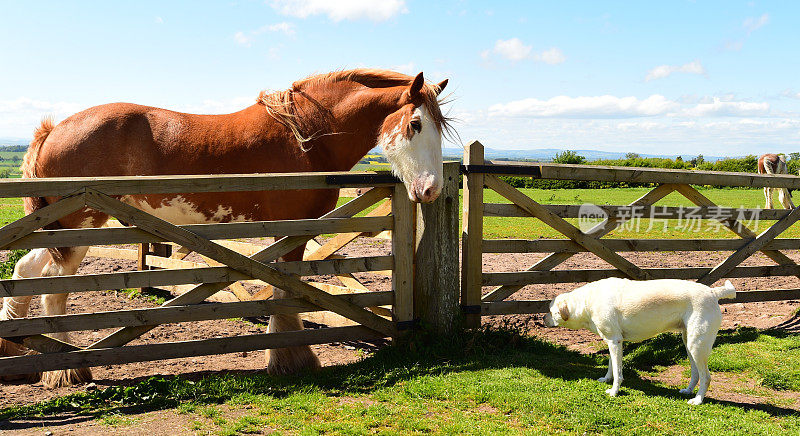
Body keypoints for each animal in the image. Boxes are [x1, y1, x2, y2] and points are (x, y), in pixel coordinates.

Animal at [1, 68, 450, 388]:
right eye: (415, 124)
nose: (431, 190)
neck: (306, 137)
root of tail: (53, 130)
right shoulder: (292, 229)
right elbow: (287, 293)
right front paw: (291, 358)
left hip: (57, 227)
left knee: (27, 271)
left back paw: (19, 351)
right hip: (78, 225)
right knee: (55, 286)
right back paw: (67, 369)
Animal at [540, 278, 736, 404]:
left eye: (550, 311)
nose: (542, 318)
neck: (586, 301)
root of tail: (712, 291)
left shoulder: (614, 341)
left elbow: (618, 373)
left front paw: (614, 391)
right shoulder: (614, 341)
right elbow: (612, 365)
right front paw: (606, 379)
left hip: (697, 345)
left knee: (706, 377)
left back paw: (697, 400)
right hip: (689, 343)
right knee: (696, 373)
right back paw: (688, 391)